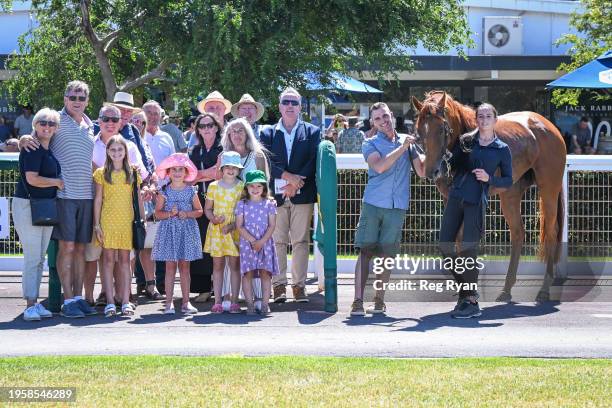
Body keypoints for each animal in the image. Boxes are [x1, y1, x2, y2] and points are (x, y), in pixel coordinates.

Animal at [412, 93, 564, 302]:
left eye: (442, 128)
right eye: (419, 131)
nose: (431, 171)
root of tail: (550, 127)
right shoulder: (451, 200)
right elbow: (455, 242)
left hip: (549, 188)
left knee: (550, 232)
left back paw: (544, 289)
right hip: (510, 194)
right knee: (518, 233)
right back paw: (506, 289)